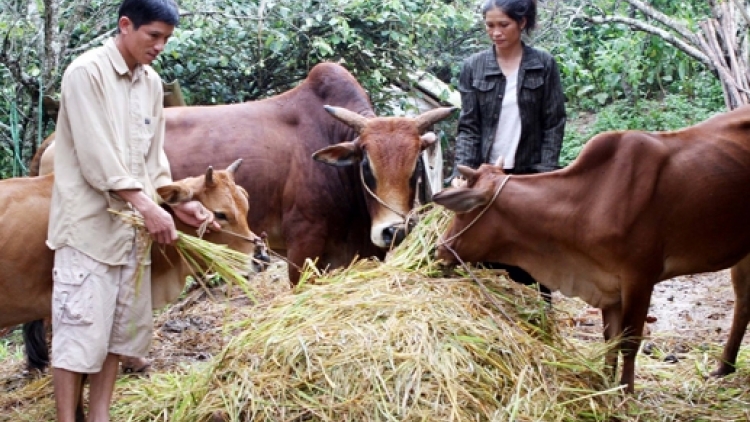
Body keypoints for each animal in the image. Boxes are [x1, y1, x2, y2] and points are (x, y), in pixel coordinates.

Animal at [432, 104, 750, 392]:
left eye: (462, 212)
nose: (439, 249)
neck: (591, 199)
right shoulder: (607, 283)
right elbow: (610, 340)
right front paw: (606, 384)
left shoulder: (640, 277)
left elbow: (629, 342)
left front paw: (625, 392)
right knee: (743, 305)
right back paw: (723, 368)